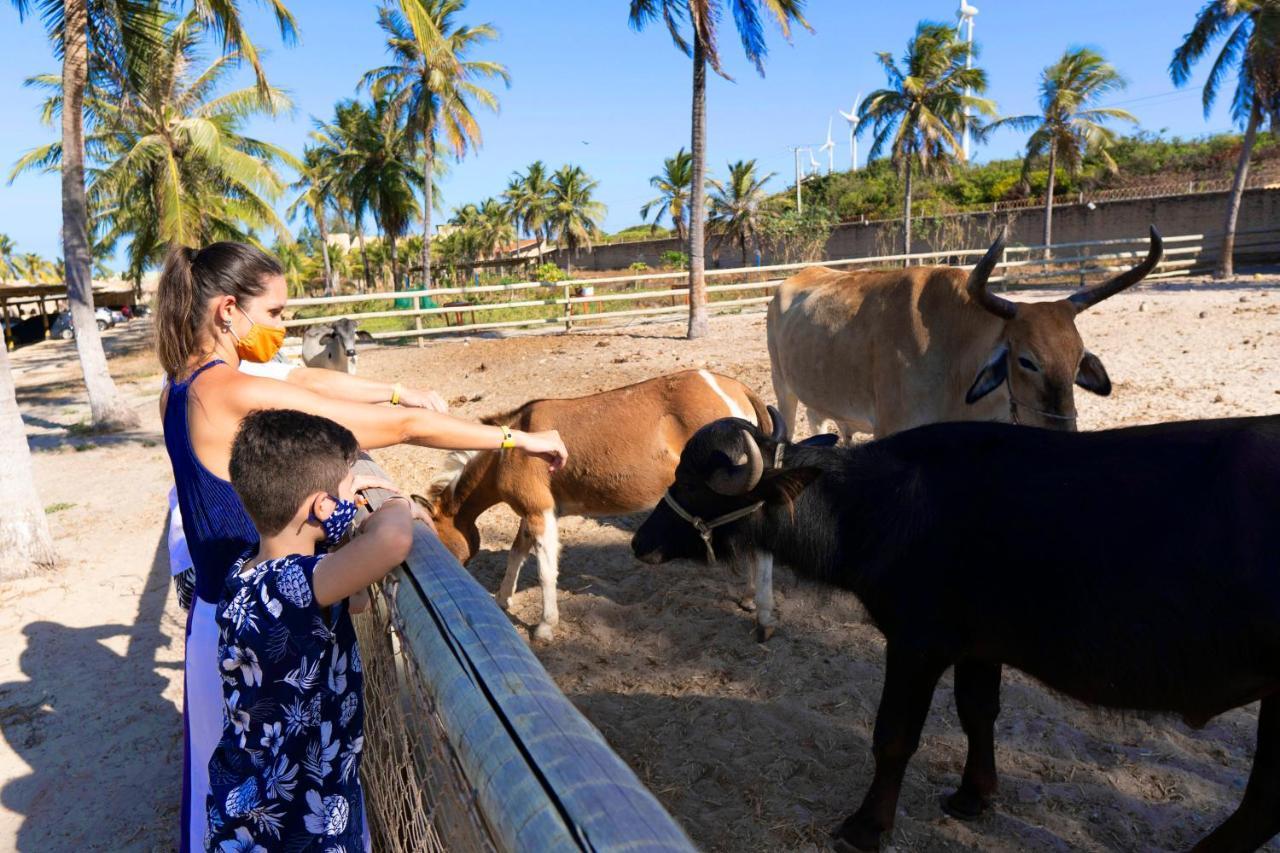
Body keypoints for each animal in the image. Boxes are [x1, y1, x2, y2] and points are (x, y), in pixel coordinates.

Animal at [414, 368, 768, 640]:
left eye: (437, 537)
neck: (510, 450)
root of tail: (733, 388)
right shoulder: (534, 513)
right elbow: (517, 553)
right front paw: (502, 599)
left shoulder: (539, 512)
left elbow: (545, 570)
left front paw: (545, 627)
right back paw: (751, 598)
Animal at [629, 409, 1280, 845]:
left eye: (692, 484)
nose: (640, 543)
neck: (879, 506)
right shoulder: (979, 646)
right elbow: (978, 714)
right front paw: (973, 795)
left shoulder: (917, 644)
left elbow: (894, 736)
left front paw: (867, 826)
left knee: (1263, 804)